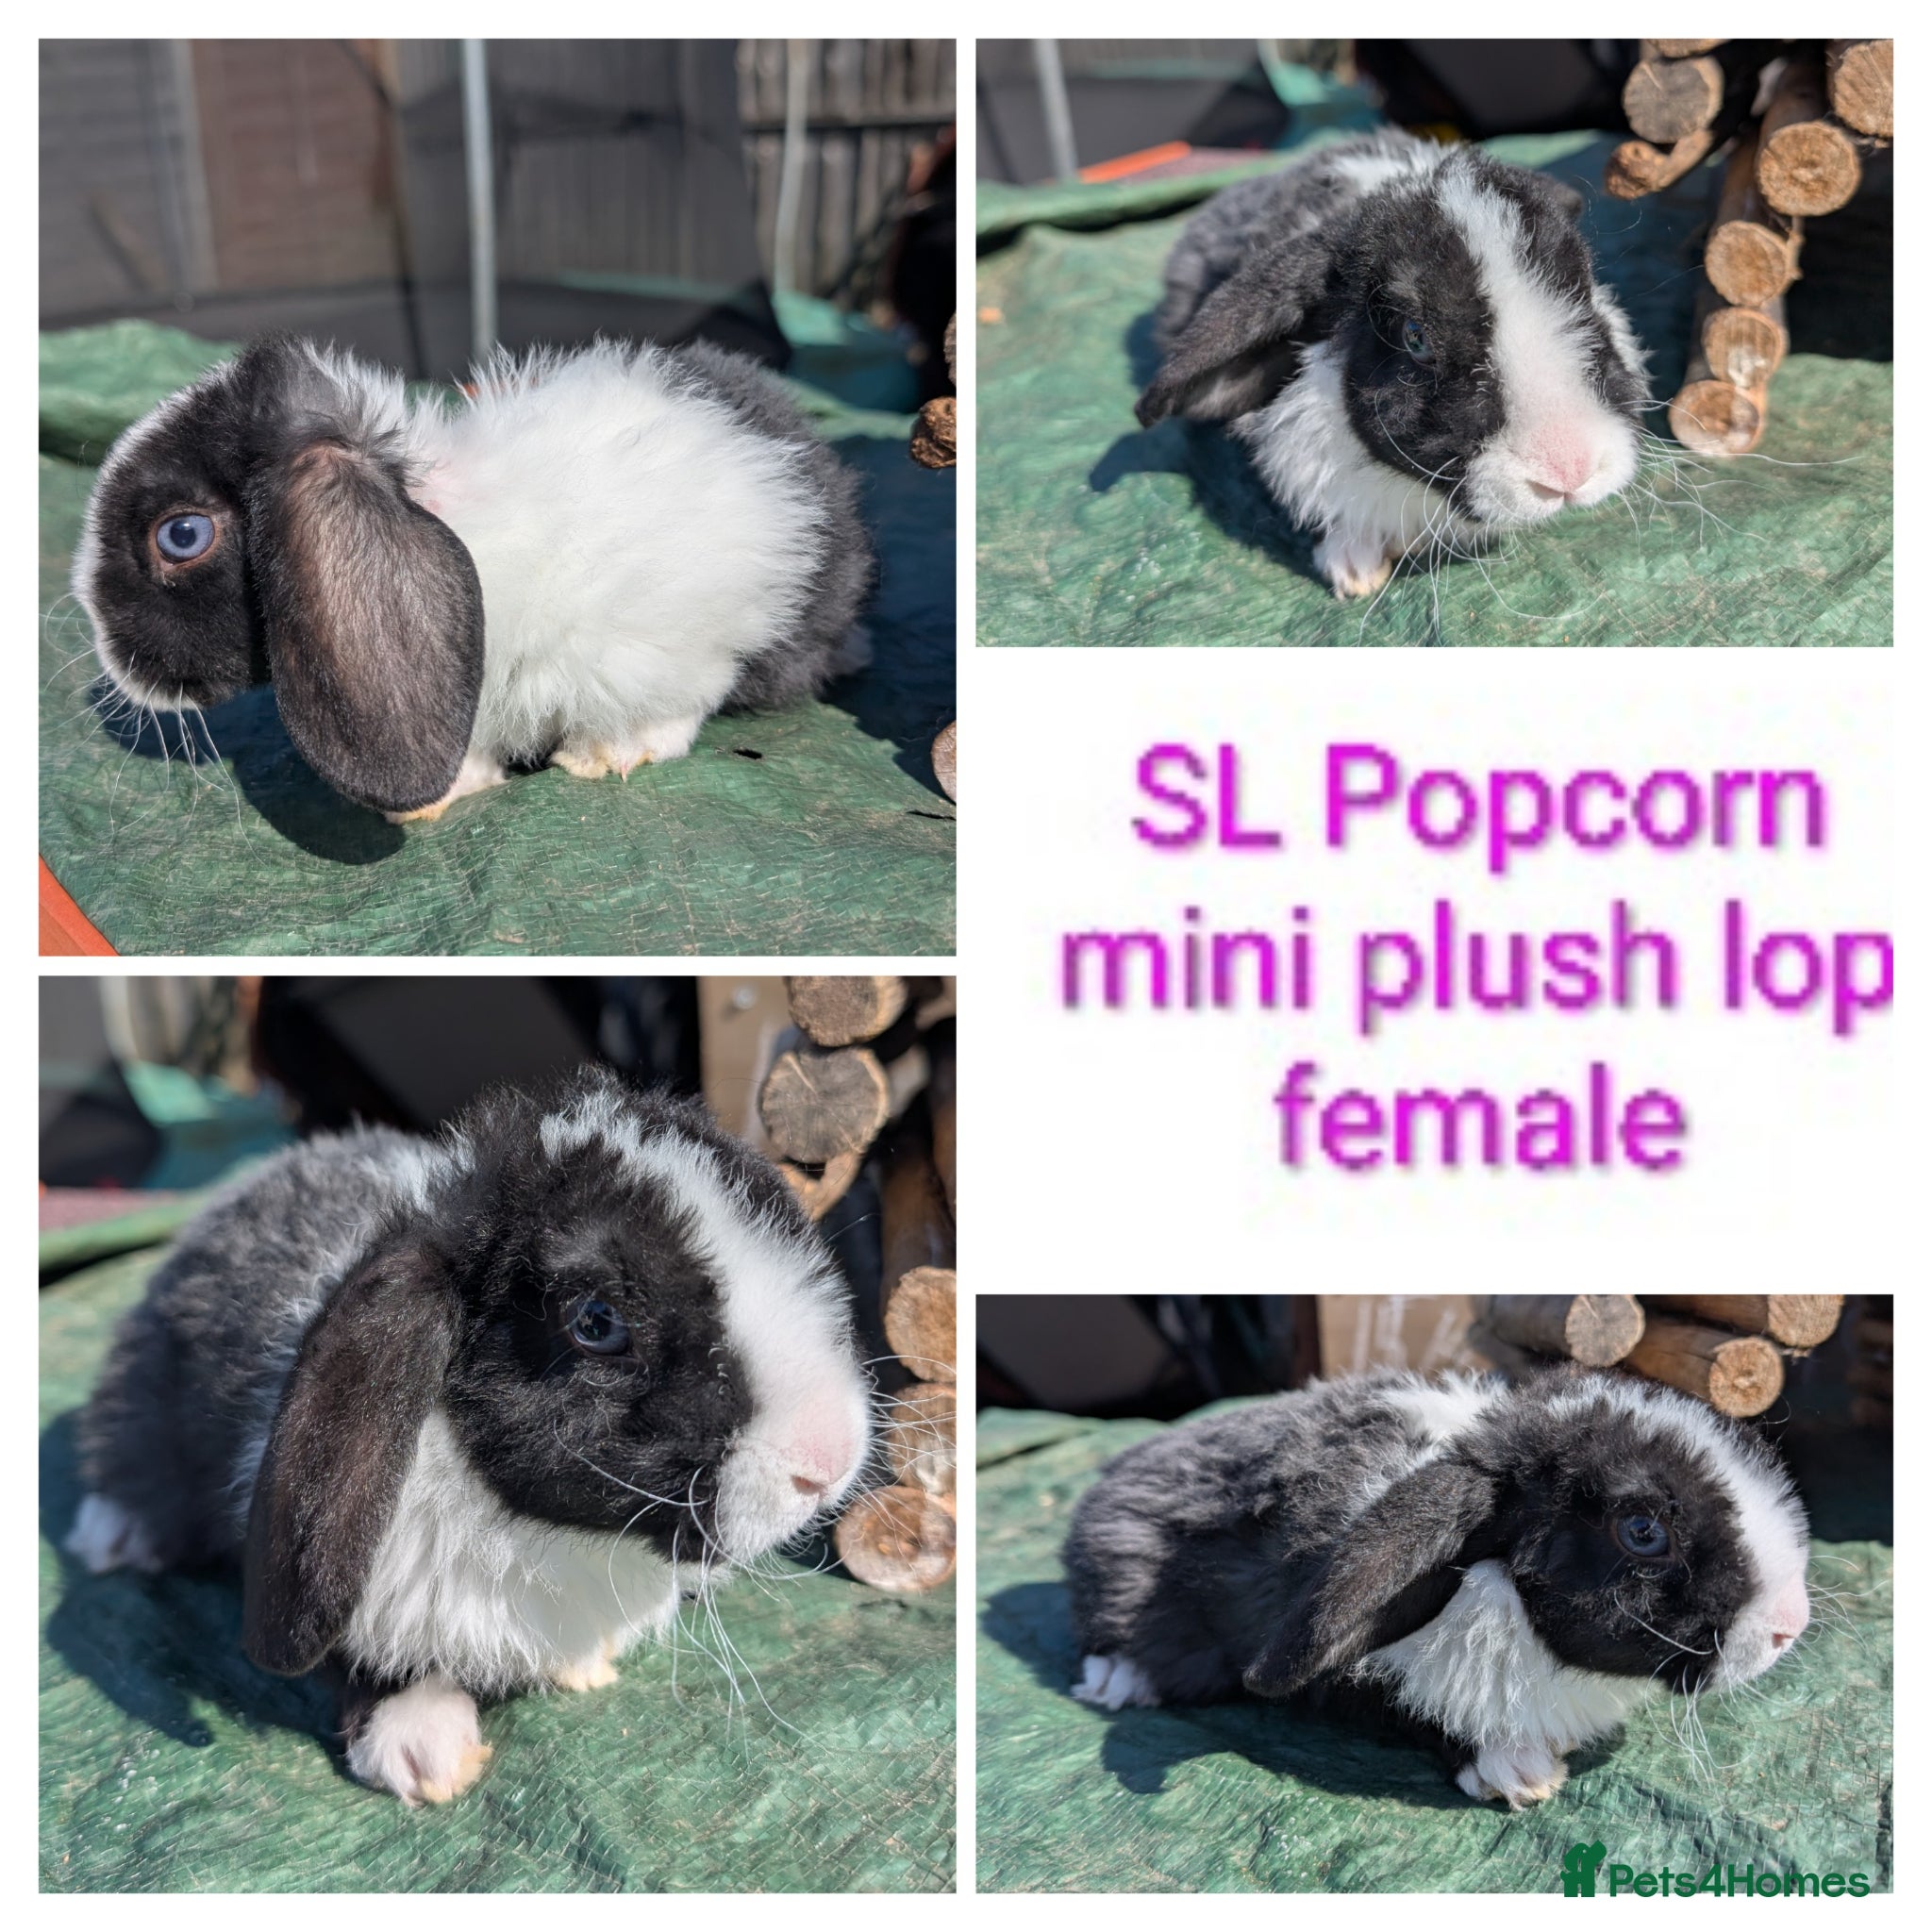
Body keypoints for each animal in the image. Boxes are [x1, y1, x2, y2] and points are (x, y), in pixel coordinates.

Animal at [64, 1066, 874, 1805]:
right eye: (596, 1322)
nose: (826, 1463)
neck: (544, 1533)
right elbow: (370, 1660)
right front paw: (424, 1752)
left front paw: (587, 1664)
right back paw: (114, 1540)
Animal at [70, 333, 876, 819]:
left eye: (181, 536)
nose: (107, 654)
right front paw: (441, 799)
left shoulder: (662, 652)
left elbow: (667, 713)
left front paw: (602, 759)